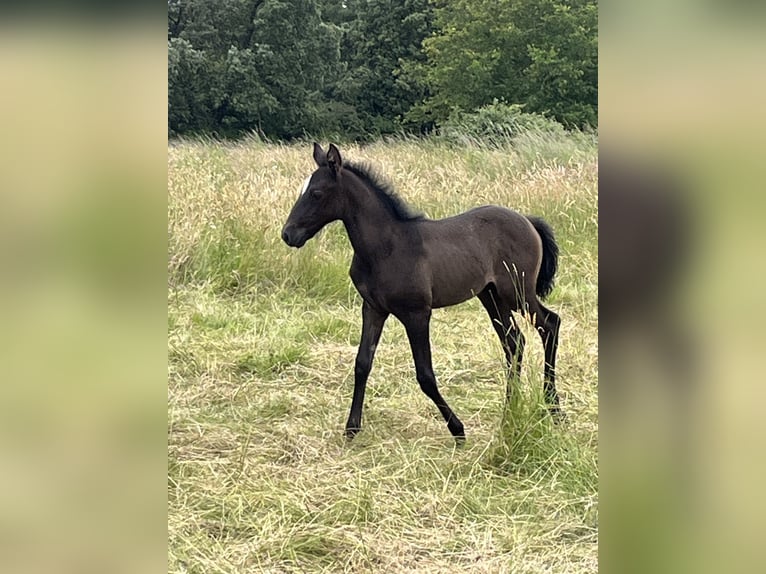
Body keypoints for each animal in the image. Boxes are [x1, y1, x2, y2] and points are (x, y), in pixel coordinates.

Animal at [282, 143, 564, 440]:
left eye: (316, 193)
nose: (288, 234)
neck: (386, 248)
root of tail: (528, 221)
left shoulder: (416, 314)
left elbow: (425, 375)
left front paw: (457, 429)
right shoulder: (373, 309)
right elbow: (362, 363)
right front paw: (352, 428)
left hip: (518, 292)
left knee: (549, 325)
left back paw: (553, 408)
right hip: (491, 295)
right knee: (514, 342)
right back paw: (510, 411)